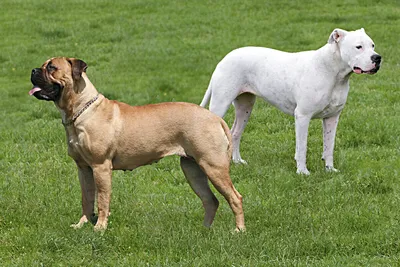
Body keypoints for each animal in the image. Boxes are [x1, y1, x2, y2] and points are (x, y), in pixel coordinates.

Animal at [28, 57, 244, 232]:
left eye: (52, 67)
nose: (33, 70)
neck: (82, 110)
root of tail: (215, 118)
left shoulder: (100, 167)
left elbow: (102, 200)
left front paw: (99, 228)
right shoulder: (84, 168)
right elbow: (86, 199)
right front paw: (82, 224)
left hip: (213, 166)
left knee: (235, 197)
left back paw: (239, 230)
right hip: (192, 169)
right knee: (210, 200)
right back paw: (205, 229)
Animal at [200, 28, 382, 176]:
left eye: (373, 45)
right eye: (358, 47)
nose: (377, 58)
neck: (333, 72)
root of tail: (225, 58)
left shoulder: (332, 118)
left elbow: (329, 146)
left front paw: (330, 169)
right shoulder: (302, 116)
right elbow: (302, 147)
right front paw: (302, 172)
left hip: (245, 107)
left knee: (235, 133)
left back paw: (237, 161)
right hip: (220, 104)